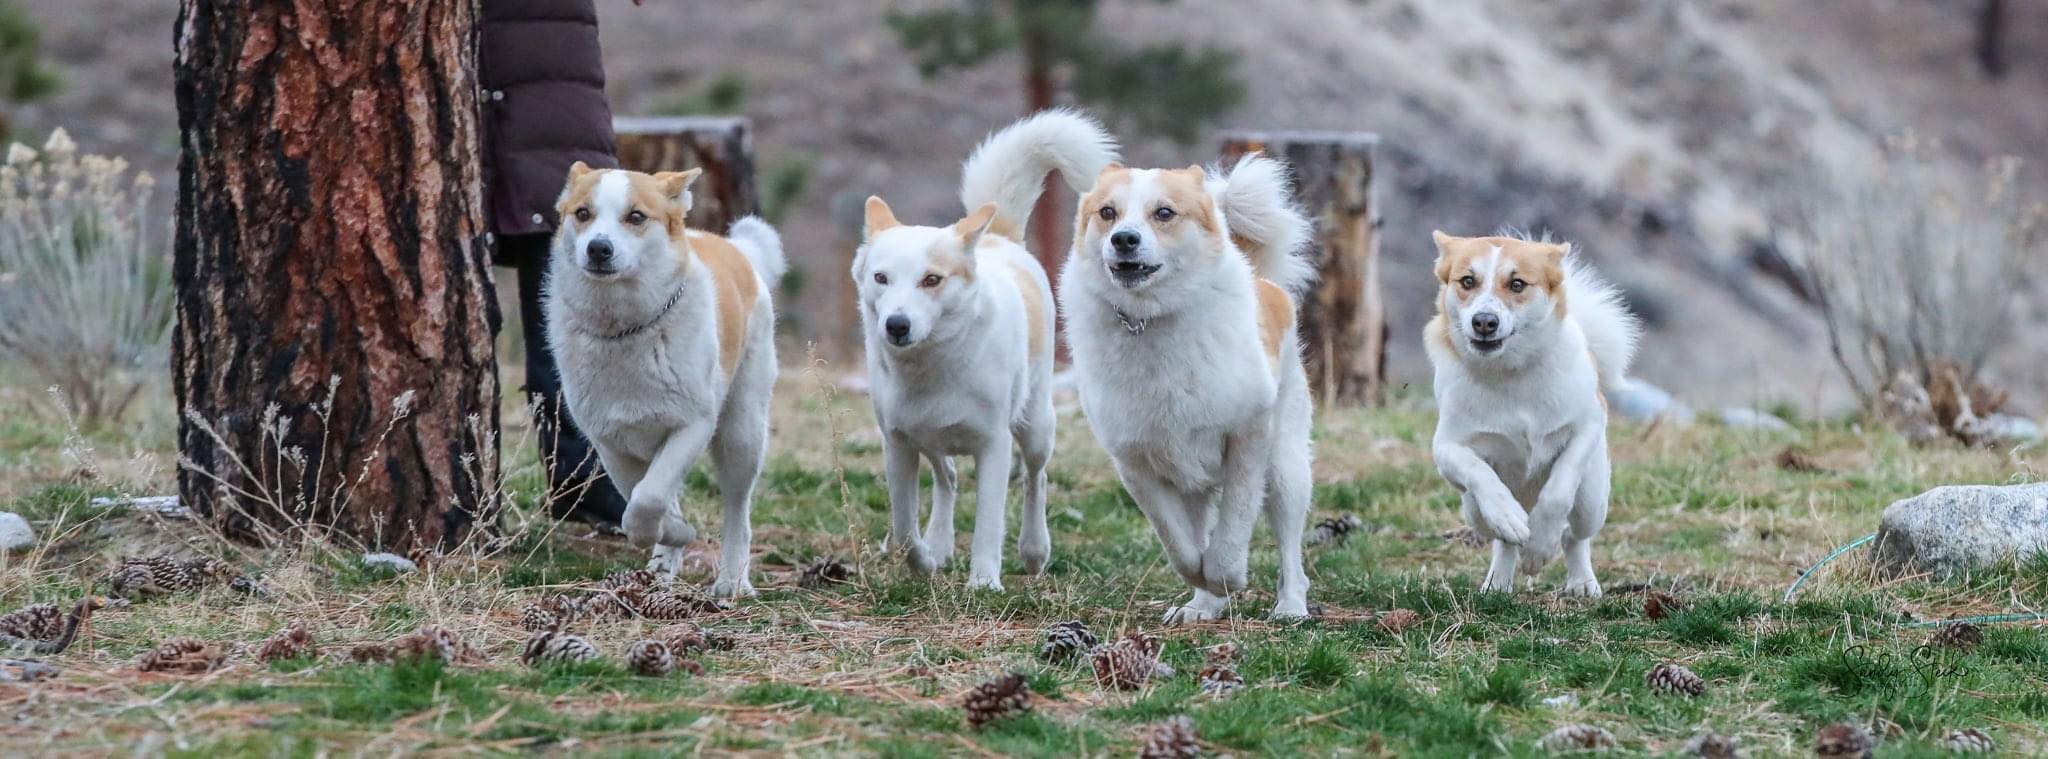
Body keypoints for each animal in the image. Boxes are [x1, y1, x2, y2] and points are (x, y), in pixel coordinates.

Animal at [544, 163, 782, 597]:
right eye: (583, 213)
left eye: (636, 216)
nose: (598, 249)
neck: (626, 329)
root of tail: (735, 249)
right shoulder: (611, 443)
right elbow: (638, 503)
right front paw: (671, 537)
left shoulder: (693, 426)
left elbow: (649, 498)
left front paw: (678, 533)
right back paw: (660, 570)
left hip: (742, 433)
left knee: (737, 509)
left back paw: (732, 580)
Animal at [860, 109, 1130, 593]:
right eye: (881, 278)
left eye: (932, 279)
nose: (896, 325)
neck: (933, 366)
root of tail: (998, 237)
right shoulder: (898, 445)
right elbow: (905, 527)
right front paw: (924, 561)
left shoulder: (994, 446)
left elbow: (989, 521)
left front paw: (984, 582)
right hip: (932, 441)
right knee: (947, 478)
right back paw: (940, 546)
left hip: (1036, 426)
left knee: (1036, 480)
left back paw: (1034, 551)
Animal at [1064, 154, 1318, 626]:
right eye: (1107, 212)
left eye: (1164, 213)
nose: (1123, 239)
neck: (1150, 320)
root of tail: (1264, 283)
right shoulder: (1136, 463)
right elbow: (1181, 546)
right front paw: (1206, 587)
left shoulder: (1248, 439)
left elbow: (1232, 528)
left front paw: (1227, 577)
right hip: (1192, 483)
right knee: (1197, 533)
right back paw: (1202, 607)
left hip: (1287, 469)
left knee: (1289, 546)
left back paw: (1291, 606)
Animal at [1425, 232, 1646, 601]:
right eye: (1467, 281)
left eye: (1517, 284)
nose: (1484, 322)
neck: (1511, 374)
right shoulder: (1447, 447)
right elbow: (1478, 472)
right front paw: (1508, 517)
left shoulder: (1587, 425)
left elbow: (1559, 490)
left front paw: (1540, 548)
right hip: (1472, 511)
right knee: (1502, 539)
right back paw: (1498, 581)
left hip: (1592, 500)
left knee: (1575, 535)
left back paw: (1581, 581)